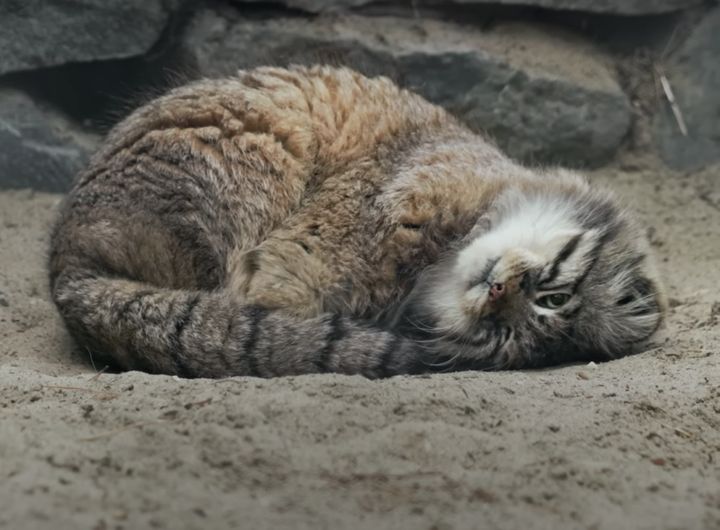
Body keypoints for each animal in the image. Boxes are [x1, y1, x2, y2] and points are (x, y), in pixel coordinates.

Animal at [49, 65, 666, 378]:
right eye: (553, 297)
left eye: (510, 335)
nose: (496, 294)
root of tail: (64, 266)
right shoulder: (360, 209)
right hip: (260, 143)